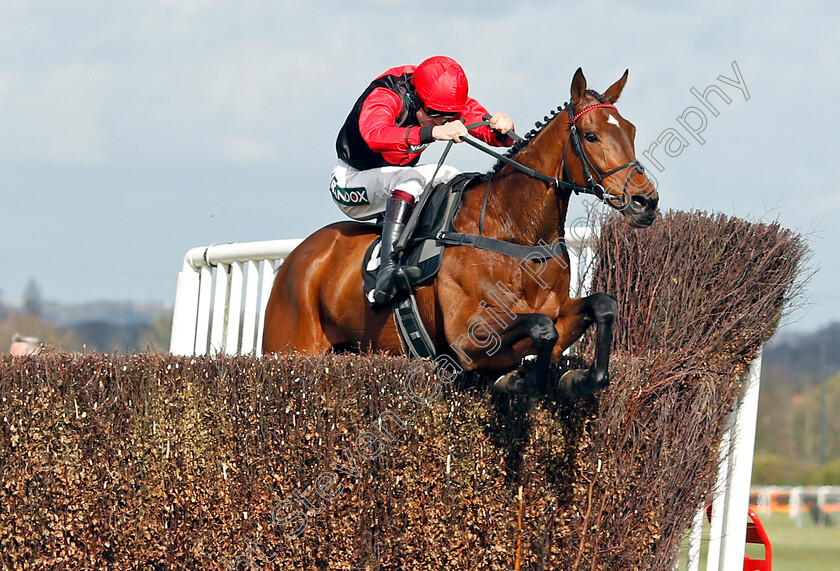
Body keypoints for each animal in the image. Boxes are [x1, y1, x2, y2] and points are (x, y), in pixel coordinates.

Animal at [260, 68, 656, 398]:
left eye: (631, 131)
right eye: (590, 136)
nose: (645, 200)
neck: (514, 233)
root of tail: (298, 256)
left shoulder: (557, 309)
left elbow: (599, 307)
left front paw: (579, 377)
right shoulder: (467, 336)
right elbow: (542, 329)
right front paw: (523, 380)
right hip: (290, 343)